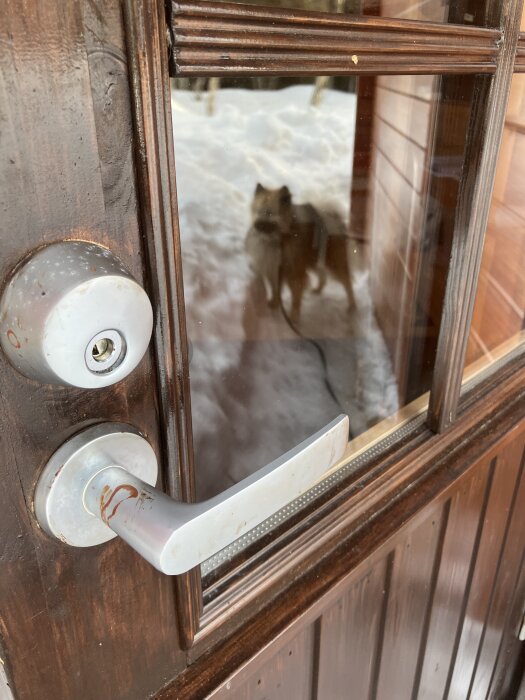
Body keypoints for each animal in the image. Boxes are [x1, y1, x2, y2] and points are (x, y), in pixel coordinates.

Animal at [245, 180, 352, 322]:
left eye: (269, 213)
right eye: (258, 211)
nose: (257, 225)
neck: (277, 240)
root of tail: (332, 217)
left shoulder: (294, 273)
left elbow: (296, 297)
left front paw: (293, 317)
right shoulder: (273, 269)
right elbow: (275, 289)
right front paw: (274, 303)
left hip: (334, 263)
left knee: (347, 283)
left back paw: (352, 307)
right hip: (314, 259)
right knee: (323, 276)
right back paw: (318, 290)